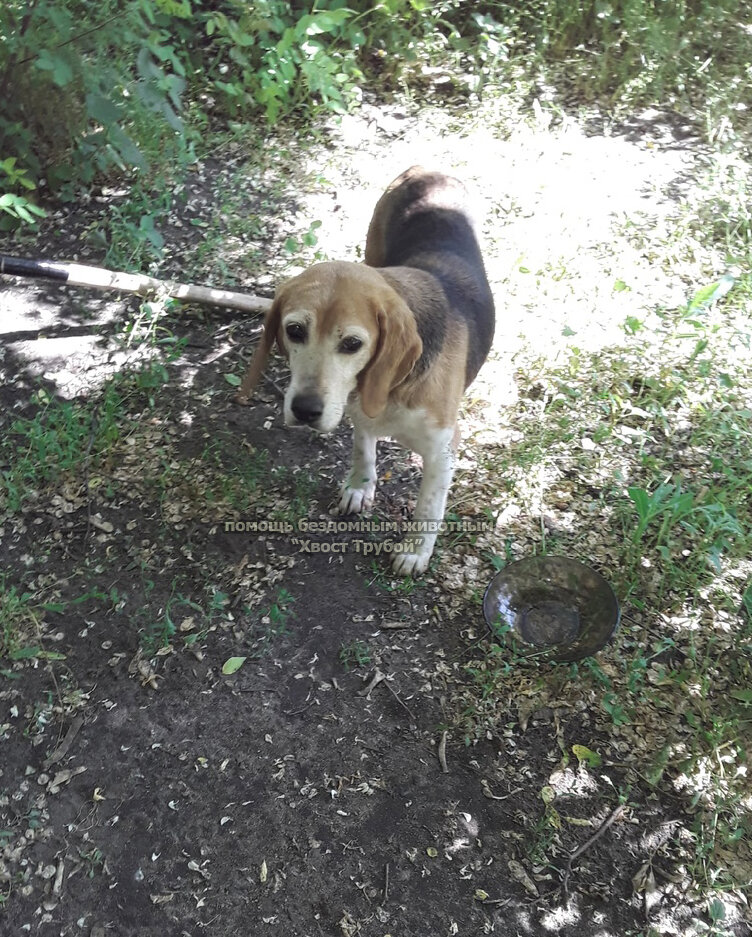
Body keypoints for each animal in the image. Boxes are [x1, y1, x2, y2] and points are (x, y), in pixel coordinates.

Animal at [235, 169, 494, 576]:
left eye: (352, 344)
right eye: (295, 330)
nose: (305, 411)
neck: (390, 390)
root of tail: (426, 169)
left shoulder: (442, 449)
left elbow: (428, 505)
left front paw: (415, 551)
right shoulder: (357, 411)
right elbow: (362, 449)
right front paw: (359, 486)